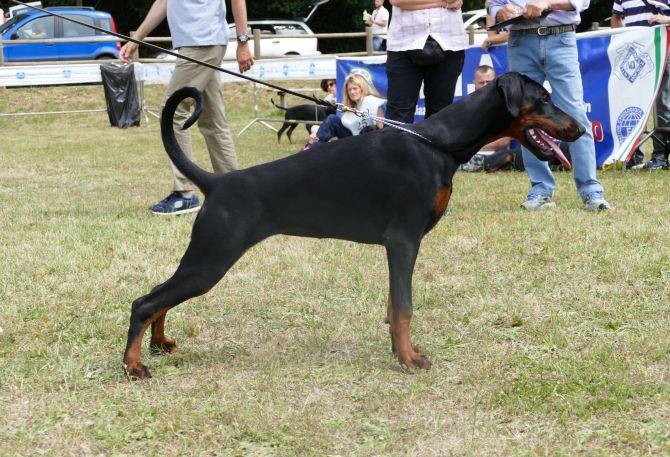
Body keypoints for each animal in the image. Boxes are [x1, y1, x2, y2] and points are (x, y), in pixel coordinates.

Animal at [123, 73, 583, 379]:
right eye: (543, 98)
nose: (580, 128)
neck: (438, 144)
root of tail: (216, 182)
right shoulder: (403, 240)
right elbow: (404, 306)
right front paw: (409, 360)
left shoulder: (398, 247)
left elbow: (394, 305)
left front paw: (400, 351)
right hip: (212, 258)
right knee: (145, 301)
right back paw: (133, 365)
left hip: (206, 259)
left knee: (159, 297)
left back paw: (159, 344)